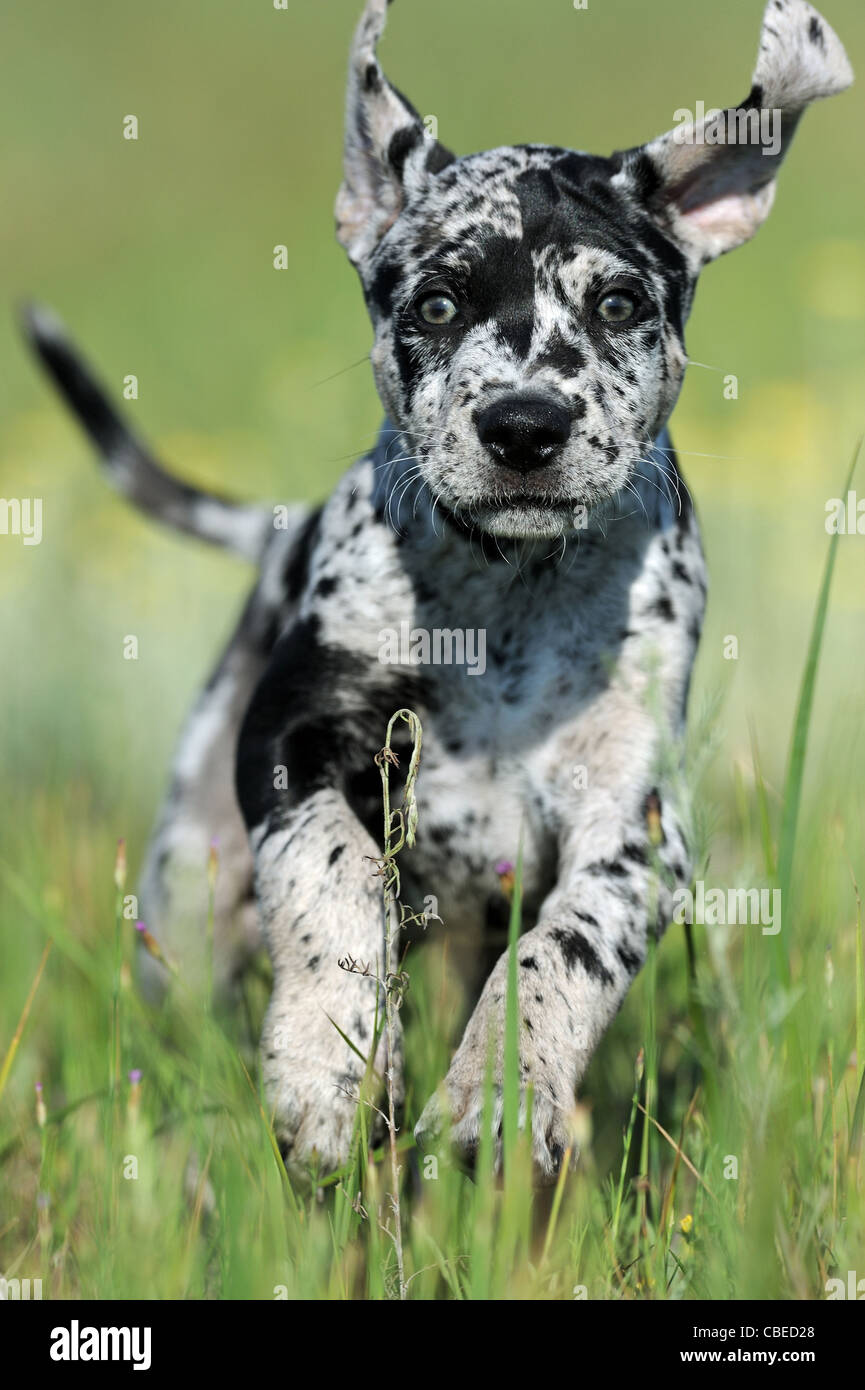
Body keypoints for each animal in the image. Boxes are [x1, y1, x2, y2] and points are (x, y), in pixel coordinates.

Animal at [25, 0, 856, 1178]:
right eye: (436, 302)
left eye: (617, 302)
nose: (523, 426)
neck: (505, 600)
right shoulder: (290, 737)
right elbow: (335, 876)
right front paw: (325, 1067)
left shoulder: (635, 824)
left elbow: (567, 944)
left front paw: (501, 1089)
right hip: (185, 892)